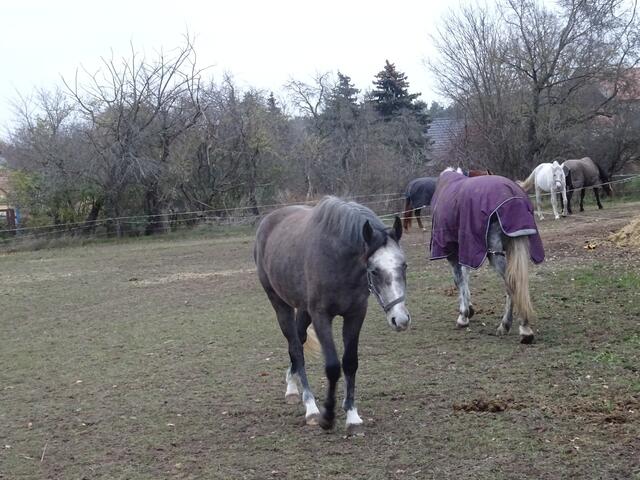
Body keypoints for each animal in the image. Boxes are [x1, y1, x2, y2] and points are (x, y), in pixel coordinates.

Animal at [254, 196, 410, 434]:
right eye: (374, 271)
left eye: (404, 265)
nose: (400, 320)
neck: (338, 260)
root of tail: (268, 220)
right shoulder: (321, 316)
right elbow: (333, 366)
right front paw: (327, 416)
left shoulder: (356, 314)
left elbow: (350, 363)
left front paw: (352, 415)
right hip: (280, 304)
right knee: (295, 347)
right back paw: (310, 407)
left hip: (303, 310)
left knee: (298, 342)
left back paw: (292, 387)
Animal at [430, 168, 545, 344]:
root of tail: (512, 195)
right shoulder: (465, 249)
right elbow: (465, 276)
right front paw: (469, 309)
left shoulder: (452, 252)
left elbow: (459, 280)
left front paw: (463, 316)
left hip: (495, 254)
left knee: (511, 283)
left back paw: (514, 327)